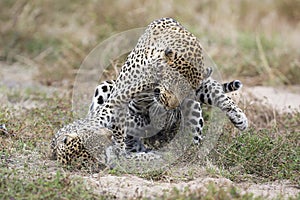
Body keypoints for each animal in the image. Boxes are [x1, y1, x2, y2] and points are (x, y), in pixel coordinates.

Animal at [50, 17, 248, 169]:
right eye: (172, 82)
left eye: (185, 90)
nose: (170, 106)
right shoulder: (118, 99)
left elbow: (216, 93)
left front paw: (238, 116)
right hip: (106, 86)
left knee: (194, 135)